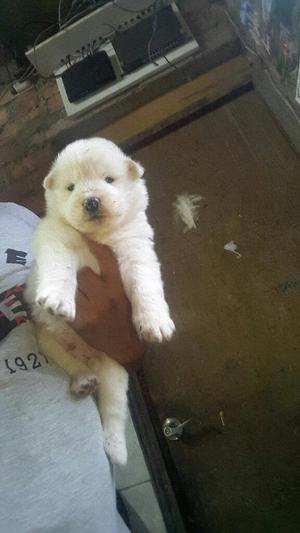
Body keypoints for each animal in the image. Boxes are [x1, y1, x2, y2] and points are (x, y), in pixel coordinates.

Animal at [27, 138, 176, 466]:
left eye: (109, 180)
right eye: (71, 187)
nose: (91, 201)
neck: (99, 238)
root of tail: (90, 356)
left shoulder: (135, 250)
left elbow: (146, 285)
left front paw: (155, 324)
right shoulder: (58, 239)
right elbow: (60, 267)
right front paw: (57, 300)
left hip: (115, 372)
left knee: (113, 411)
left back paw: (116, 449)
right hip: (48, 337)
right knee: (67, 360)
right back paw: (82, 380)